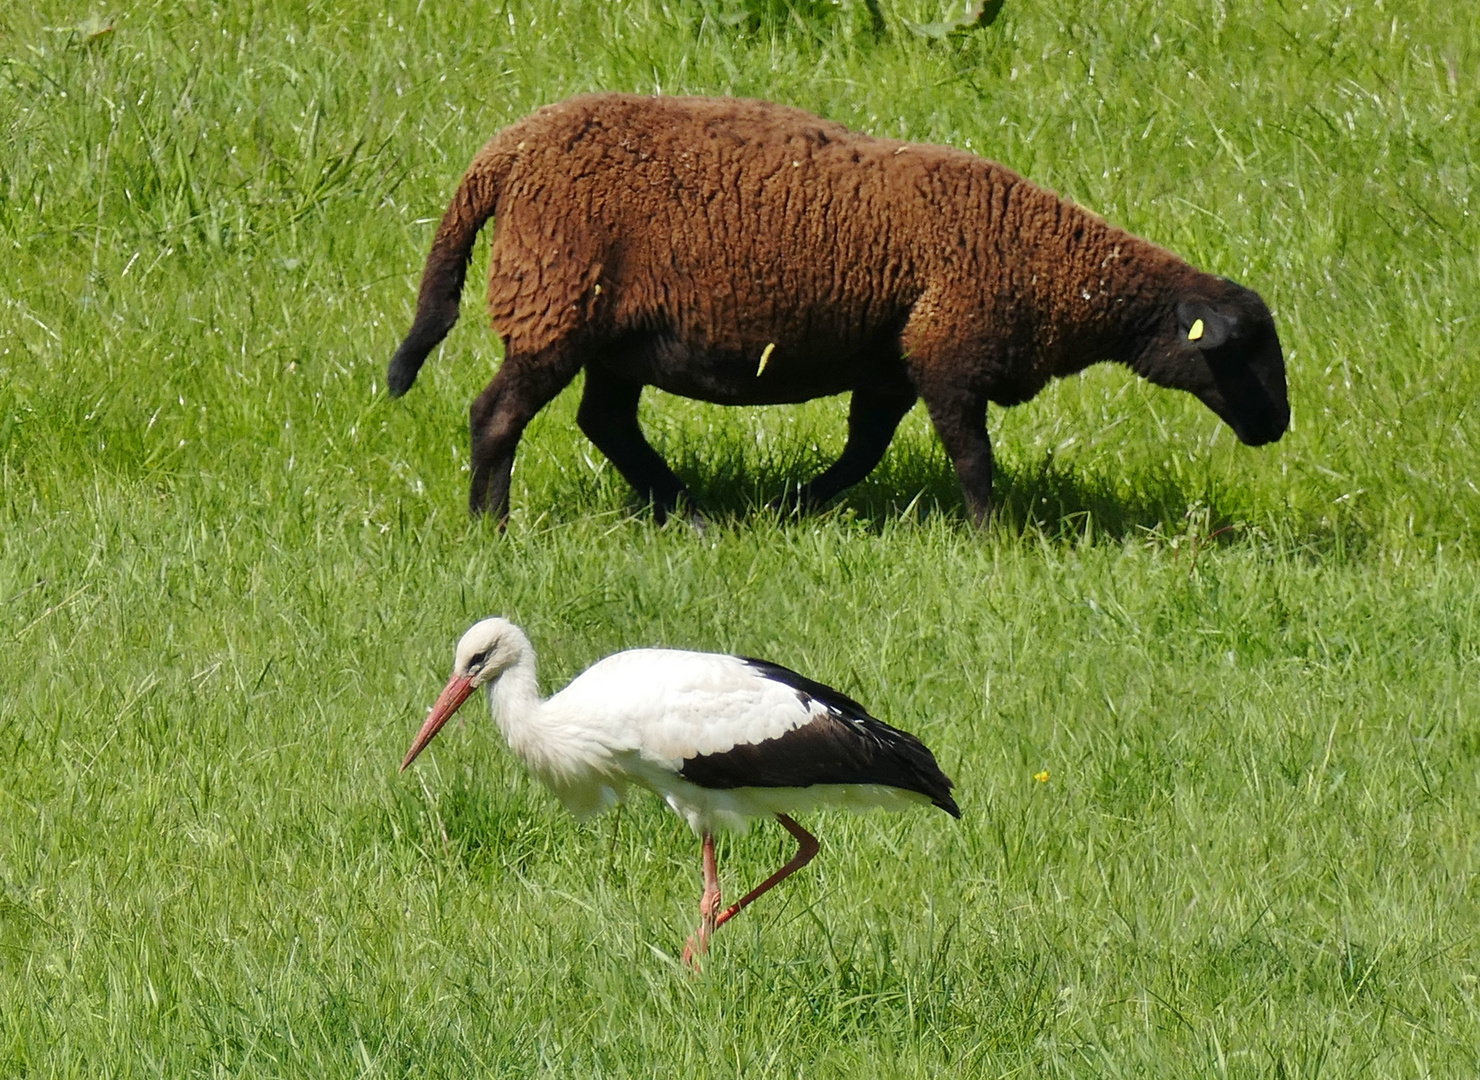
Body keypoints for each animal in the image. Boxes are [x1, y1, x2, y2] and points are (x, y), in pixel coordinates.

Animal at [387, 91, 1290, 526]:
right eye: (1240, 351)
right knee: (497, 415)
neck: (1054, 266)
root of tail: (508, 150)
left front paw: (800, 506)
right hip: (553, 305)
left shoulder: (891, 365)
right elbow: (973, 459)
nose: (1277, 428)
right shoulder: (947, 351)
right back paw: (493, 528)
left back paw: (689, 514)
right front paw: (996, 538)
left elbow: (863, 452)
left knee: (604, 421)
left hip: (617, 335)